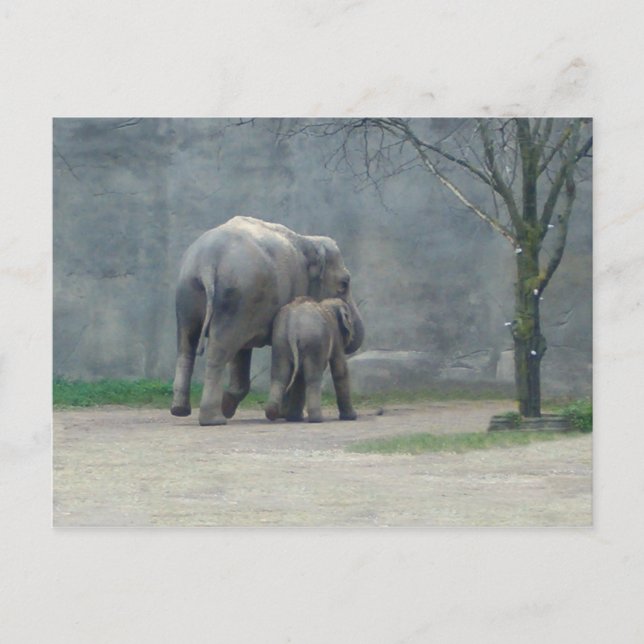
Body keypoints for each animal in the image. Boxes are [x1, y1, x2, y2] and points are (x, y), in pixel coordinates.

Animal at [170, 216, 364, 425]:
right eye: (344, 283)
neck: (307, 240)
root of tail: (207, 263)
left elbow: (243, 351)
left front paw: (230, 403)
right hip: (235, 298)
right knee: (219, 350)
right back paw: (214, 419)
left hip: (191, 295)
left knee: (187, 344)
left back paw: (180, 410)